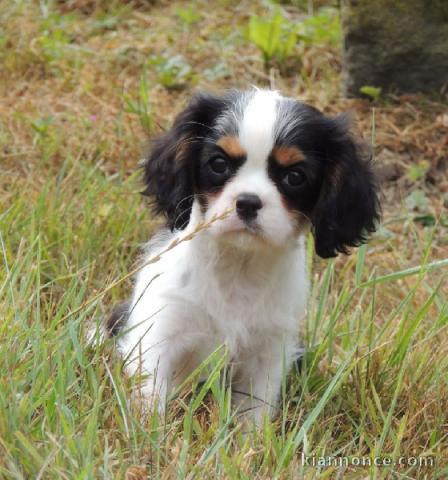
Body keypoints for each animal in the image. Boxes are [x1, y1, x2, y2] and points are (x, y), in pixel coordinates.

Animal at [107, 88, 380, 426]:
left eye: (295, 177)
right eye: (219, 163)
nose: (248, 202)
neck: (238, 265)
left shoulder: (269, 353)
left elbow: (254, 414)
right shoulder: (160, 332)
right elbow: (149, 396)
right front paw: (146, 433)